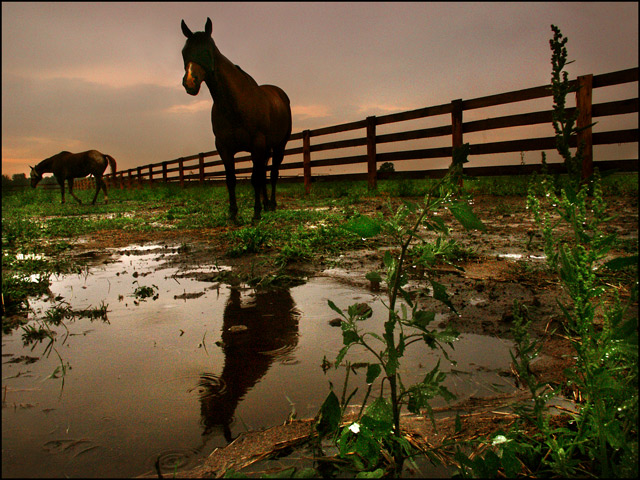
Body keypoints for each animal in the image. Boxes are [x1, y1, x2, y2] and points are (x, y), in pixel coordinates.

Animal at [181, 16, 294, 223]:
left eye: (207, 51)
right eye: (185, 52)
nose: (190, 82)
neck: (235, 104)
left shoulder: (257, 144)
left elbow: (255, 179)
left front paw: (256, 214)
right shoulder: (224, 147)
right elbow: (231, 179)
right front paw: (233, 214)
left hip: (279, 145)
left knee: (273, 173)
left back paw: (271, 205)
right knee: (264, 173)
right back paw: (266, 204)